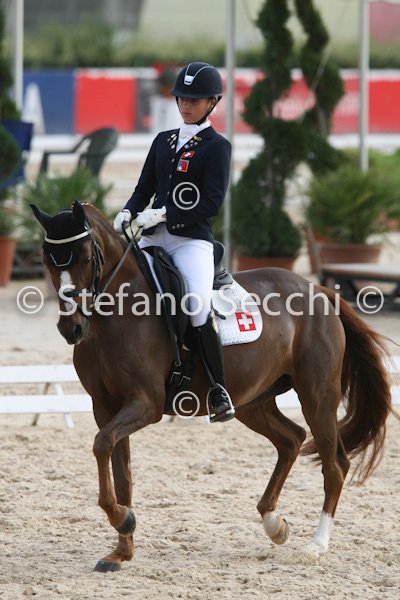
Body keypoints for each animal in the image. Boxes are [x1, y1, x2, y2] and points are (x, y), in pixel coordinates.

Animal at [31, 200, 395, 572]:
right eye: (47, 259)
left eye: (85, 258)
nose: (71, 328)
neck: (116, 311)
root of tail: (318, 291)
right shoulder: (105, 408)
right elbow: (120, 472)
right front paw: (122, 549)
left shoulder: (145, 404)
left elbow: (102, 445)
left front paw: (122, 520)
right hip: (253, 401)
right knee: (291, 439)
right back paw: (274, 524)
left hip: (317, 395)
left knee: (334, 465)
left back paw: (316, 546)